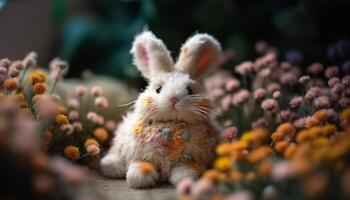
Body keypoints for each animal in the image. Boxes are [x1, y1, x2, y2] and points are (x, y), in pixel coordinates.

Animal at [100, 30, 221, 188]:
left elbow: (188, 169)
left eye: (190, 90)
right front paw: (139, 179)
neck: (171, 124)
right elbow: (141, 164)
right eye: (158, 89)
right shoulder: (142, 154)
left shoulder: (192, 158)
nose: (174, 98)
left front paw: (184, 179)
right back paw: (109, 165)